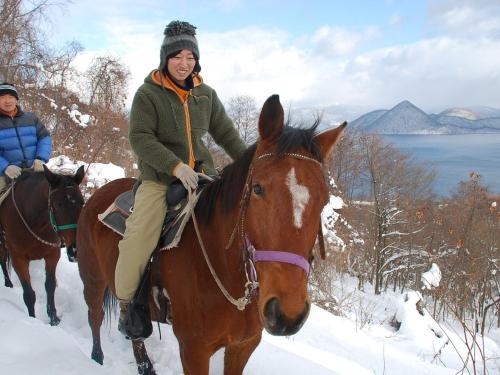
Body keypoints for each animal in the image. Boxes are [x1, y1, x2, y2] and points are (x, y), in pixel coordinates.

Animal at [0, 166, 84, 324]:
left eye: (82, 202)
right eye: (58, 204)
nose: (76, 251)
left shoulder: (52, 255)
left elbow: (50, 287)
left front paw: (54, 319)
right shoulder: (18, 258)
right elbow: (29, 294)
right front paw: (32, 320)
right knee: (2, 260)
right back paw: (8, 284)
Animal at [78, 96, 346, 375]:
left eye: (324, 200)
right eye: (258, 188)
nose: (287, 313)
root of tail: (100, 192)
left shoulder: (243, 345)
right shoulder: (194, 349)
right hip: (93, 278)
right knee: (95, 316)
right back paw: (96, 357)